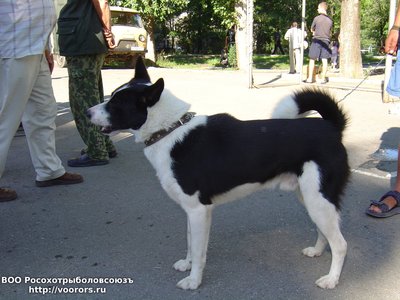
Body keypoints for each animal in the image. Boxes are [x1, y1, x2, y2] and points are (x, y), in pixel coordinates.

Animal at [86, 56, 346, 290]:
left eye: (116, 104)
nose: (87, 113)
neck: (169, 130)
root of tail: (331, 128)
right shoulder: (192, 211)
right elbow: (191, 243)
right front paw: (187, 264)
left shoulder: (199, 210)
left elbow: (199, 251)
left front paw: (194, 281)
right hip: (310, 198)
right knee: (324, 232)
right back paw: (317, 251)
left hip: (318, 200)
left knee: (340, 244)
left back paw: (331, 280)